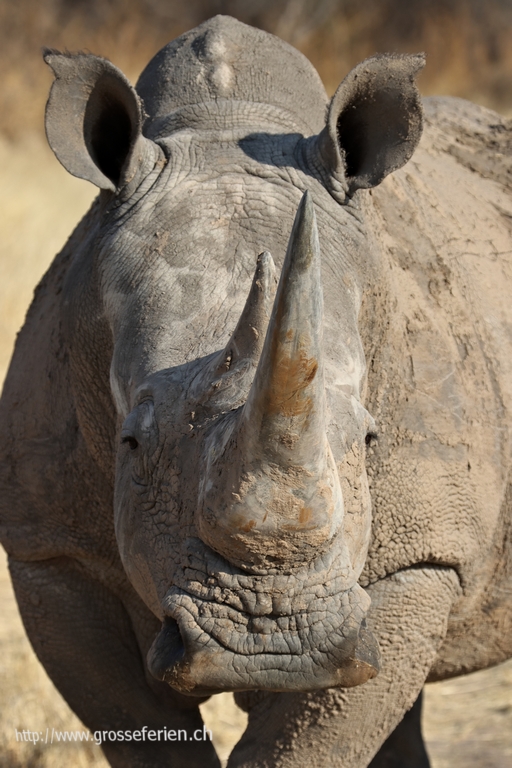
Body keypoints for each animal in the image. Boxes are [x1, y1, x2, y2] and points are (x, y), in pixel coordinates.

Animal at [1, 13, 512, 768]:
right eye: (131, 442)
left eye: (370, 438)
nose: (272, 644)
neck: (226, 121)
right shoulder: (49, 551)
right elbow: (142, 733)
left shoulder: (425, 559)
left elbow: (309, 743)